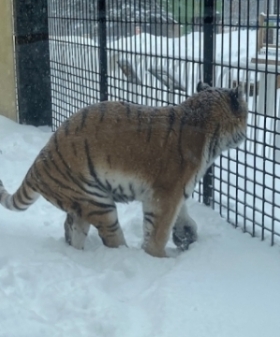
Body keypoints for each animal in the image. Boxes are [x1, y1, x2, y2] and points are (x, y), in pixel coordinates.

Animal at [0, 82, 247, 258]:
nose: (246, 133)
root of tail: (37, 164)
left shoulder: (177, 191)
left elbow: (184, 216)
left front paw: (186, 236)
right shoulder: (165, 193)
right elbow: (158, 230)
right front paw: (158, 257)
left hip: (80, 204)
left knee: (72, 229)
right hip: (98, 203)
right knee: (111, 238)